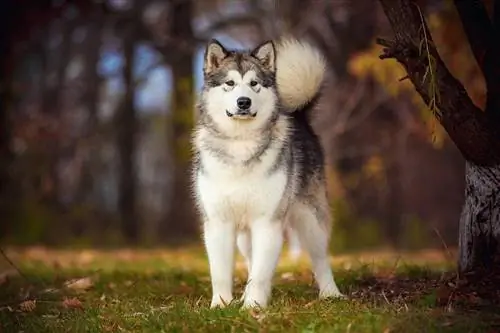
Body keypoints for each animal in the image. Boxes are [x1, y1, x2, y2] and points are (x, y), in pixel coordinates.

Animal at [191, 37, 344, 308]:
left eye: (254, 84)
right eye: (230, 83)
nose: (244, 102)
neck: (240, 144)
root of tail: (299, 116)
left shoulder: (267, 222)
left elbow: (261, 272)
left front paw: (253, 306)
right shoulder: (219, 222)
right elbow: (221, 272)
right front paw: (221, 305)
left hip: (310, 219)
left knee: (320, 258)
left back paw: (331, 293)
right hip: (244, 234)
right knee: (251, 258)